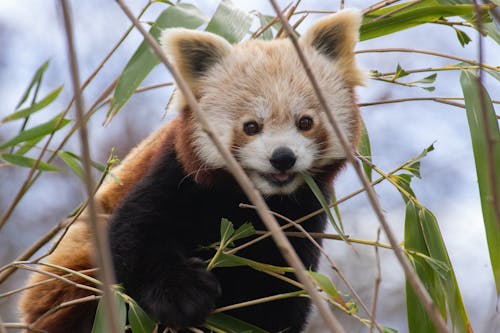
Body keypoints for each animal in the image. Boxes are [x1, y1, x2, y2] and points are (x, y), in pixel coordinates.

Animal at [18, 8, 364, 332]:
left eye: (305, 122)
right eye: (251, 127)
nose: (282, 157)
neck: (254, 202)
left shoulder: (304, 214)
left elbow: (283, 292)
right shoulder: (176, 173)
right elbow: (132, 241)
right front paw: (182, 293)